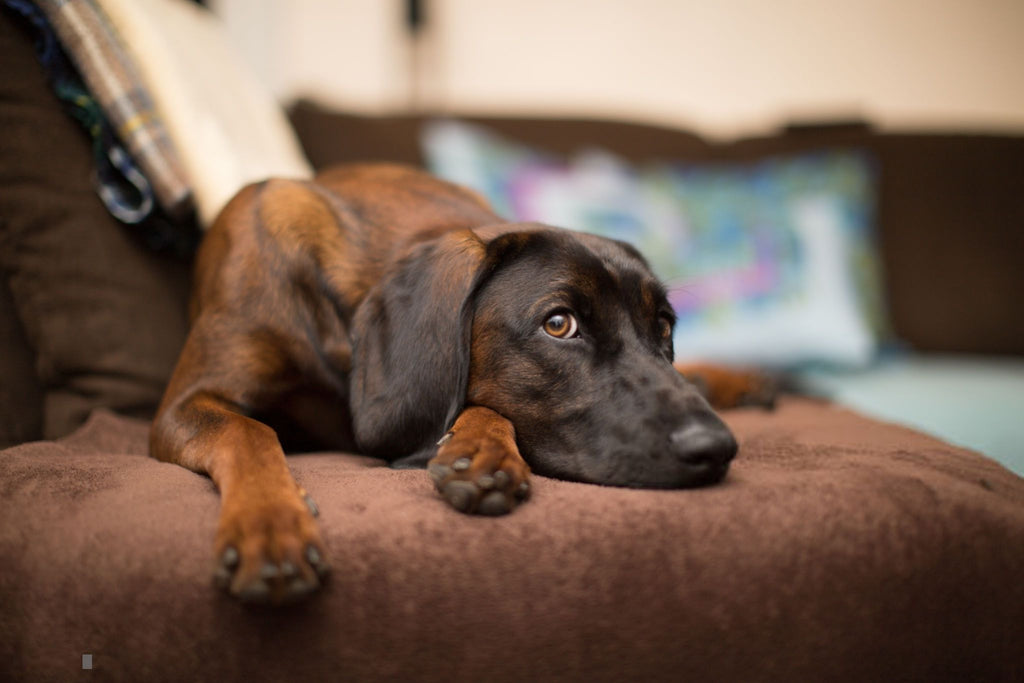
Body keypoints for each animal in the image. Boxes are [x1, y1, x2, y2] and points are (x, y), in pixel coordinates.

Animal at [148, 163, 765, 602]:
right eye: (558, 324)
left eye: (663, 325)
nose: (717, 447)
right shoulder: (185, 404)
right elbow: (251, 433)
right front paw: (269, 524)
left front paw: (480, 452)